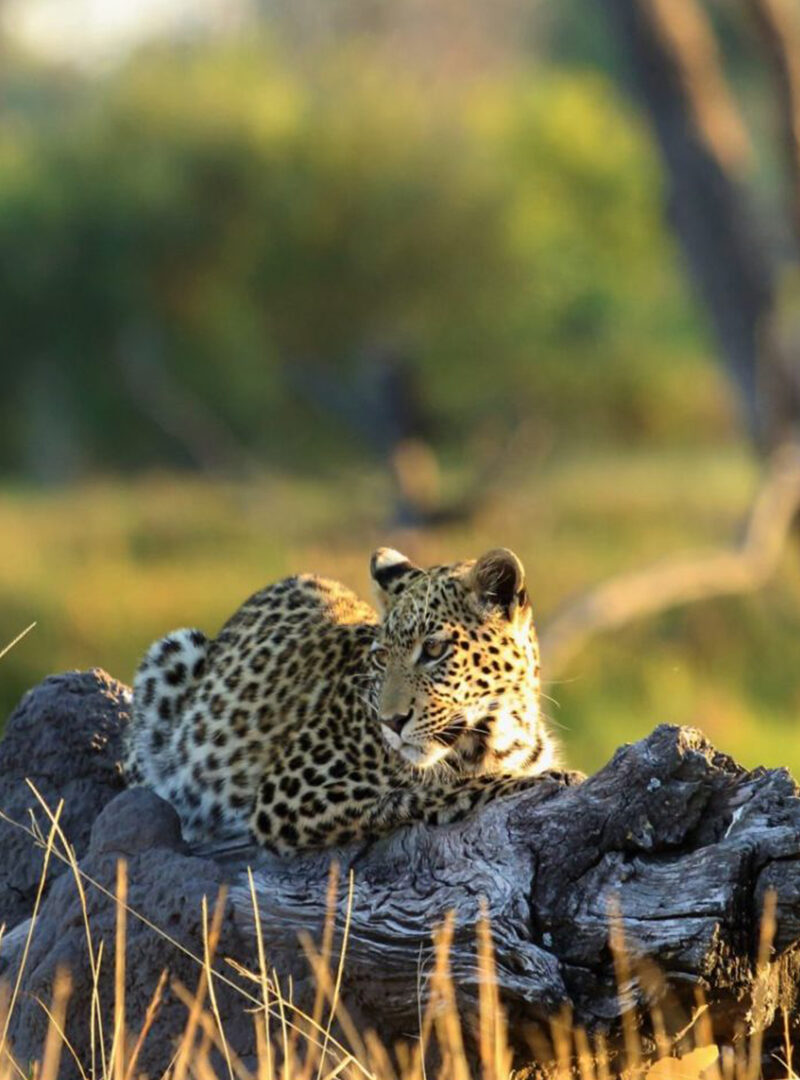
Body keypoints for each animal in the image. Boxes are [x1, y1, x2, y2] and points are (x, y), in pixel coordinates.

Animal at [122, 546, 558, 854]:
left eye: (434, 649)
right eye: (382, 657)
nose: (391, 722)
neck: (499, 734)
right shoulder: (290, 793)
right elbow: (427, 790)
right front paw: (541, 780)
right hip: (174, 652)